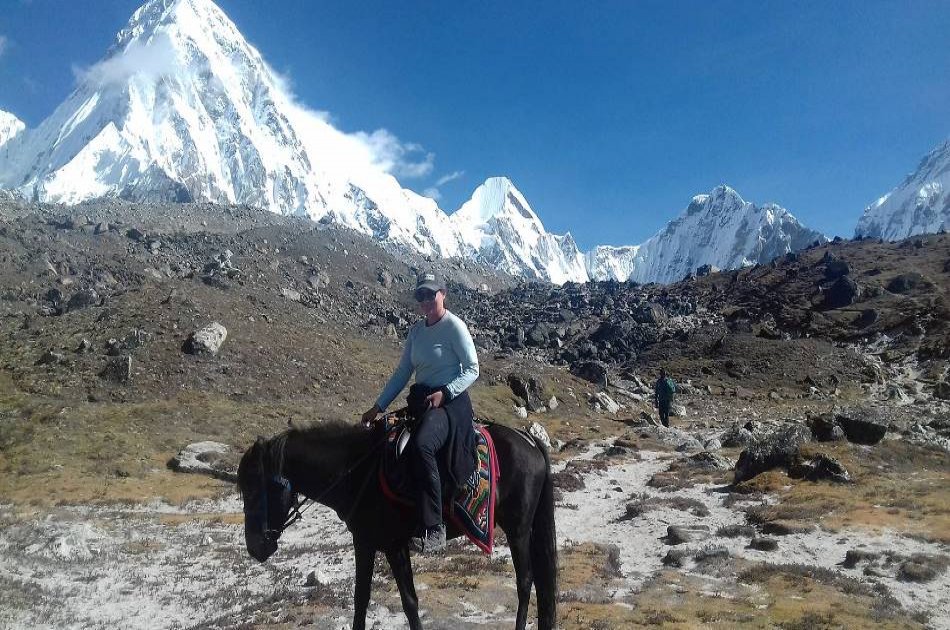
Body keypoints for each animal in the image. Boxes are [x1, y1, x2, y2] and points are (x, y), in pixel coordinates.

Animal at [237, 422, 556, 628]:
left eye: (254, 490)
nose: (255, 547)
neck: (356, 472)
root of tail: (528, 440)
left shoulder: (388, 546)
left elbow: (402, 602)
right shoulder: (371, 544)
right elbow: (370, 599)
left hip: (518, 529)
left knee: (525, 581)